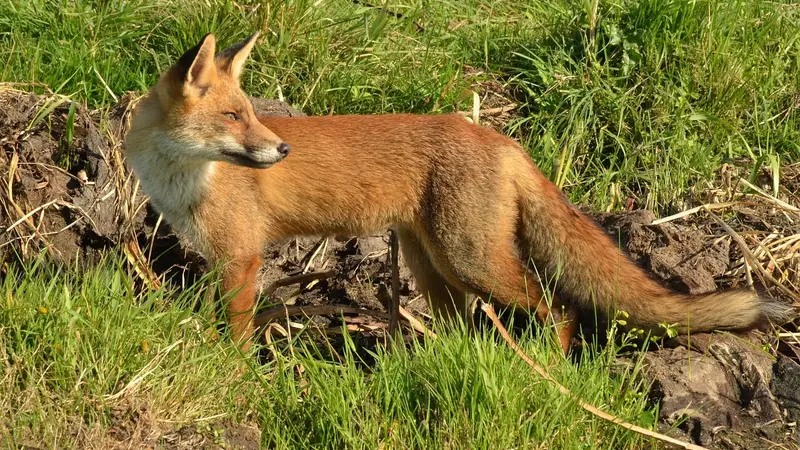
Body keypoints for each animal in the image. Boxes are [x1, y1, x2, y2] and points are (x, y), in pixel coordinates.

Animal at [124, 32, 793, 353]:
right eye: (233, 116)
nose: (282, 150)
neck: (183, 179)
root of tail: (496, 135)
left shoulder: (241, 258)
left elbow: (235, 336)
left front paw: (233, 371)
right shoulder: (224, 259)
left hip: (471, 259)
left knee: (560, 309)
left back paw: (549, 368)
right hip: (434, 266)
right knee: (464, 327)